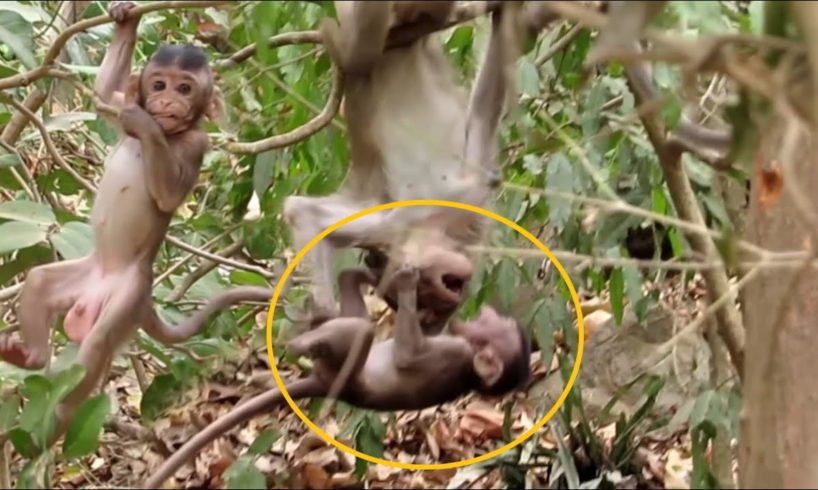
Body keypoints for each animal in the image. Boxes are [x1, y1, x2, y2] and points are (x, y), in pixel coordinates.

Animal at [0, 1, 268, 442]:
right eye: (159, 84)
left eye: (184, 89)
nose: (167, 103)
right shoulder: (119, 104)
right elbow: (103, 94)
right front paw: (128, 20)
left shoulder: (197, 143)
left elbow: (170, 196)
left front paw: (145, 126)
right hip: (83, 276)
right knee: (39, 282)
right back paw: (33, 357)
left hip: (127, 297)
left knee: (96, 345)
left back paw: (59, 419)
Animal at [146, 264, 528, 490]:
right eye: (490, 319)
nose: (481, 313)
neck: (472, 370)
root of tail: (334, 386)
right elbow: (426, 328)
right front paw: (411, 288)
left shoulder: (455, 359)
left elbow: (407, 354)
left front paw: (407, 283)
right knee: (349, 299)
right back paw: (320, 304)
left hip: (343, 367)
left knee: (361, 331)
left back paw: (299, 339)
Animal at [282, 1, 524, 330]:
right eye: (426, 297)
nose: (430, 315)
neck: (445, 228)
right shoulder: (405, 221)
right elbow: (305, 214)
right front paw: (325, 316)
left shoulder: (465, 197)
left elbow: (482, 117)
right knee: (361, 51)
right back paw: (347, 45)